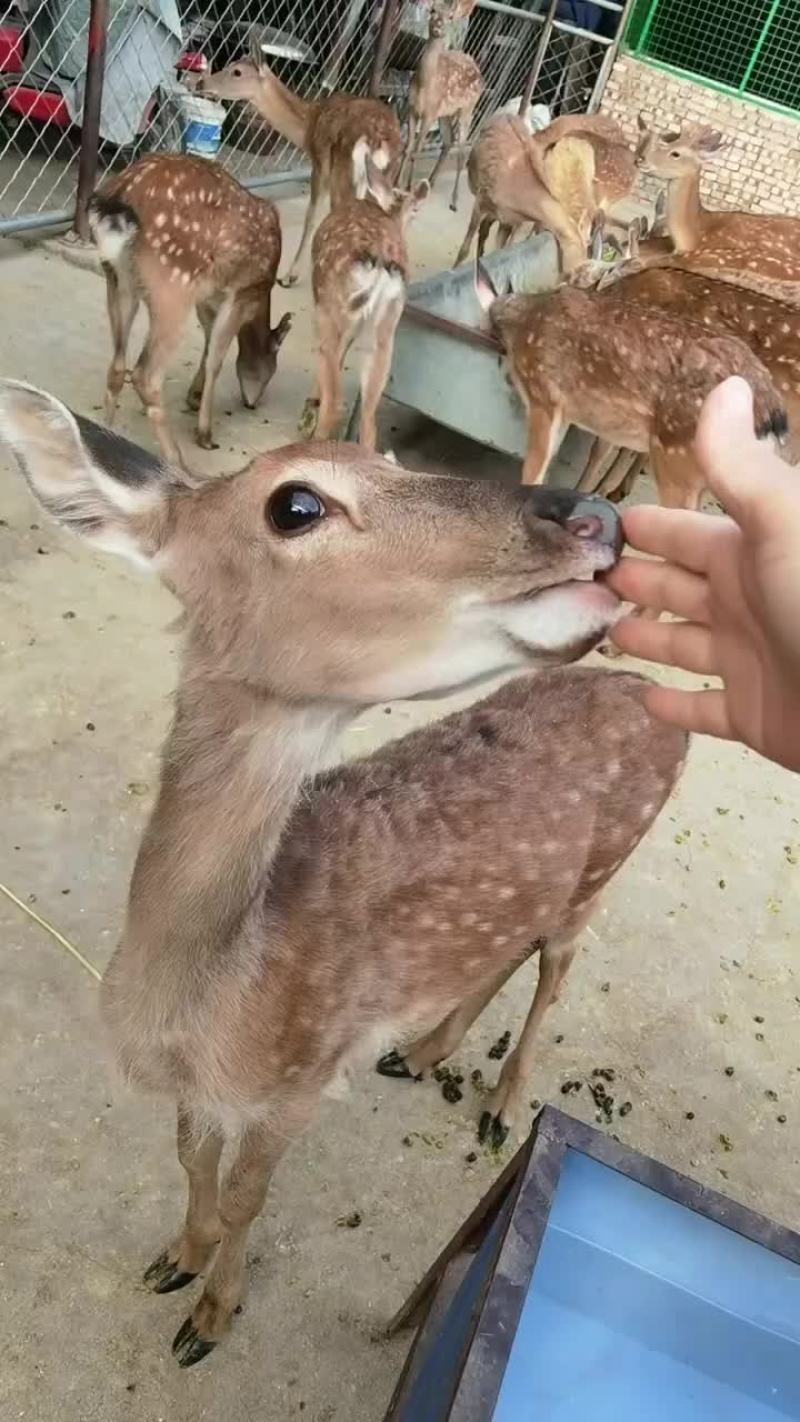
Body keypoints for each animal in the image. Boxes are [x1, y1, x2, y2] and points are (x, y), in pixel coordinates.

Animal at [0, 375, 688, 1366]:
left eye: (392, 457)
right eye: (296, 505)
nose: (595, 514)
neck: (198, 1010)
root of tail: (649, 696)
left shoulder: (300, 1078)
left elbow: (247, 1195)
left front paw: (211, 1316)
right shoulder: (204, 1089)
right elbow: (189, 1157)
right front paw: (177, 1257)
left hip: (603, 870)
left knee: (559, 966)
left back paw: (500, 1106)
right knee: (511, 946)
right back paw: (421, 1051)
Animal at [89, 154, 291, 467]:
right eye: (271, 367)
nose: (252, 403)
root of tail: (123, 195)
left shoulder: (207, 298)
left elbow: (208, 342)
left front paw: (193, 398)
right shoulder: (241, 294)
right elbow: (217, 357)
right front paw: (205, 434)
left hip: (118, 279)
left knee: (118, 366)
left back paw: (106, 441)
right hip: (173, 284)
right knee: (145, 374)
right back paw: (177, 459)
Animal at [200, 36, 403, 289]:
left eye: (236, 71)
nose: (201, 82)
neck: (308, 127)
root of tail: (378, 141)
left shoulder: (319, 165)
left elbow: (310, 217)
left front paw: (289, 276)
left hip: (345, 178)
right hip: (384, 178)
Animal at [299, 150, 429, 448]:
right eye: (413, 210)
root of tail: (380, 263)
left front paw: (310, 409)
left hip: (331, 308)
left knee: (336, 403)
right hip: (385, 327)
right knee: (370, 421)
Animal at [400, 2, 484, 212]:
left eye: (451, 16)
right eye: (432, 11)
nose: (438, 25)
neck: (425, 85)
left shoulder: (429, 114)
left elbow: (417, 150)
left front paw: (408, 187)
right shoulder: (412, 109)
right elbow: (407, 148)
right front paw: (397, 182)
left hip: (467, 109)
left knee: (462, 151)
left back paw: (454, 201)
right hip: (445, 113)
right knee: (448, 141)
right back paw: (432, 181)